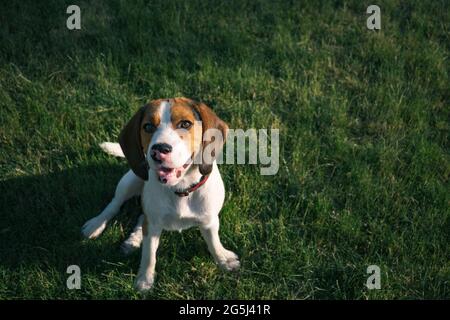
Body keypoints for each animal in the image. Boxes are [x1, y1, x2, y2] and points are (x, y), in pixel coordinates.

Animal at [81, 98, 239, 292]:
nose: (159, 149)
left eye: (185, 124)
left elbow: (214, 242)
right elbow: (149, 254)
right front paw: (144, 279)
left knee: (141, 217)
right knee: (115, 205)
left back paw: (133, 240)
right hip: (131, 180)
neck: (180, 190)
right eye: (148, 127)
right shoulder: (154, 225)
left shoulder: (209, 220)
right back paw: (97, 225)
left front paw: (223, 260)